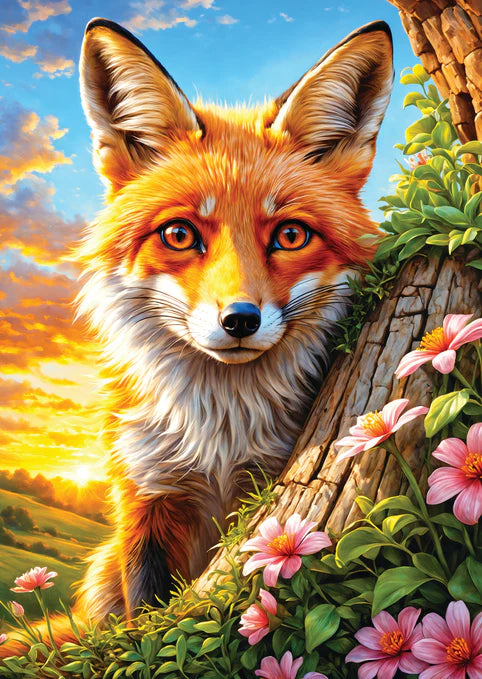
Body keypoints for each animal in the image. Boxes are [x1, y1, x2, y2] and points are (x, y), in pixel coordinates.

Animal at [0, 18, 393, 656]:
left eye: (290, 235)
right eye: (180, 234)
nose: (239, 320)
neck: (221, 437)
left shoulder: (261, 487)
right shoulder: (148, 500)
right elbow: (146, 625)